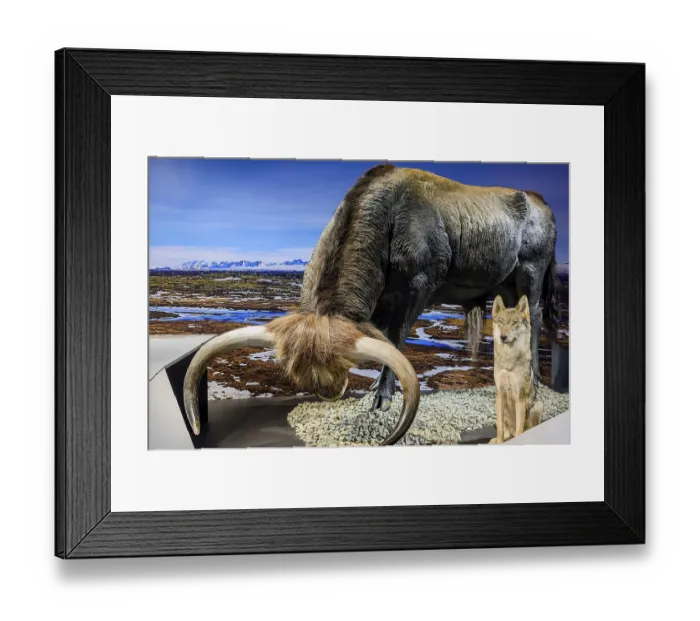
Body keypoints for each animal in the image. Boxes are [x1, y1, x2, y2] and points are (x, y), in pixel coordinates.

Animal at [489, 295, 544, 444]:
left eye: (514, 323)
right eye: (501, 322)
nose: (503, 337)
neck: (509, 359)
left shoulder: (520, 397)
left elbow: (520, 429)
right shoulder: (500, 394)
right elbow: (500, 428)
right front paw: (500, 442)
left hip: (537, 405)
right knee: (507, 432)